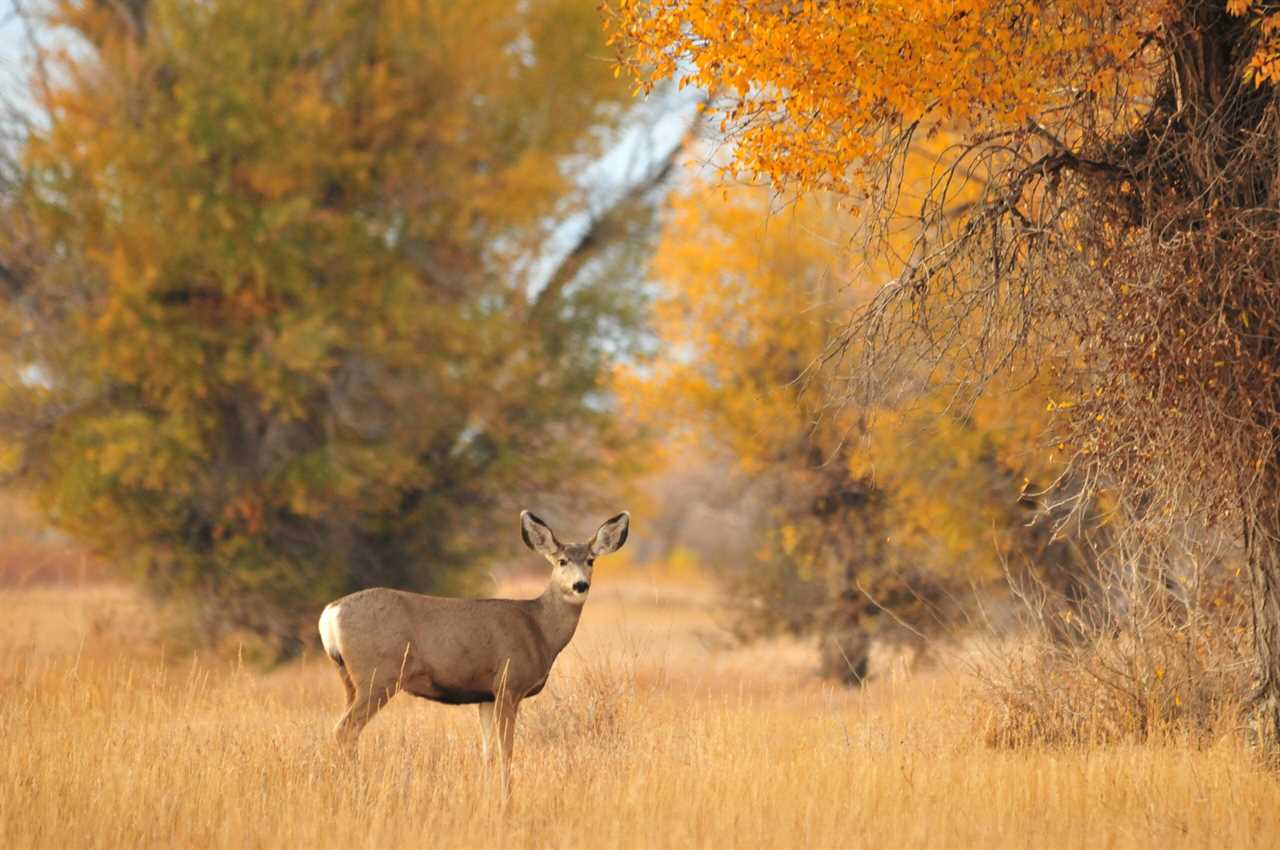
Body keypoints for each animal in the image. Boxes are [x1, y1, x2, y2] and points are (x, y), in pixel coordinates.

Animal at [314, 506, 624, 778]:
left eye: (590, 560)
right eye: (561, 561)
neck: (538, 628)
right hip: (378, 676)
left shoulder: (485, 695)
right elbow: (506, 753)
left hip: (350, 679)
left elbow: (488, 754)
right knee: (345, 730)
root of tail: (330, 612)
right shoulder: (508, 684)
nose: (580, 585)